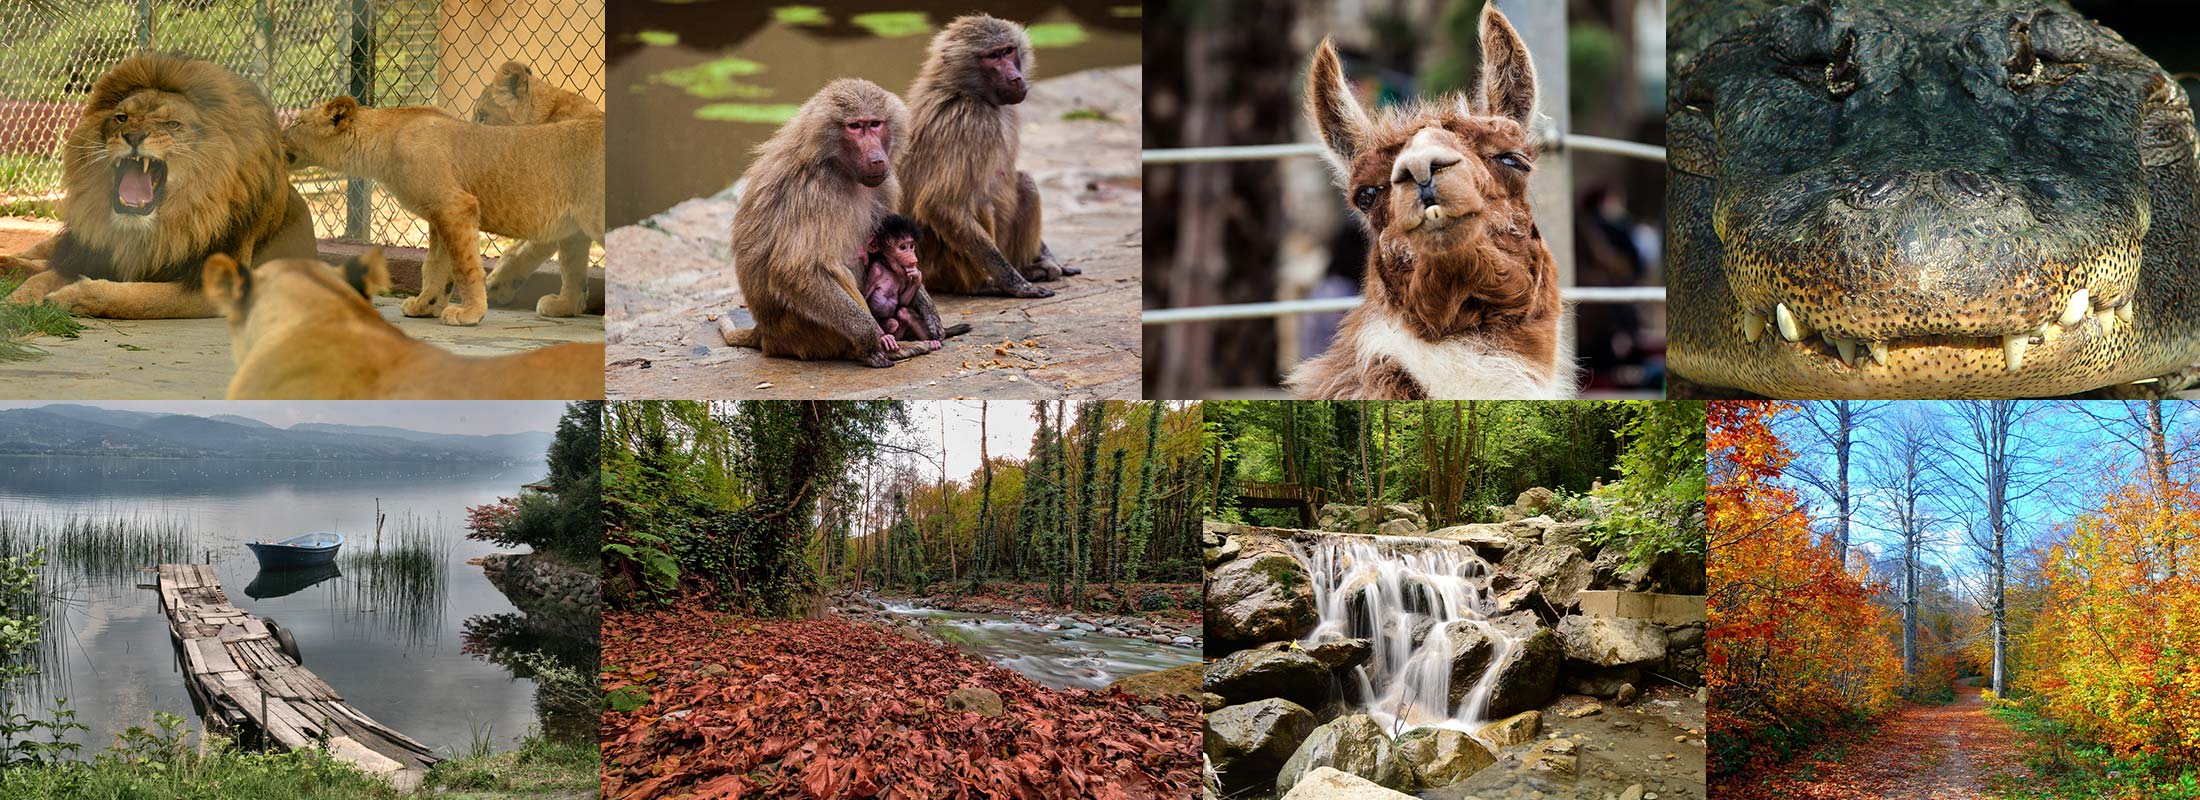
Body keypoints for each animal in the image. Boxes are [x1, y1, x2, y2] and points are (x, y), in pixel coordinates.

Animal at [4, 53, 316, 318]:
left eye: (171, 123)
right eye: (121, 117)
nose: (133, 135)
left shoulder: (221, 283)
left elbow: (141, 298)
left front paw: (74, 297)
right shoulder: (88, 254)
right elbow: (43, 275)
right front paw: (17, 300)